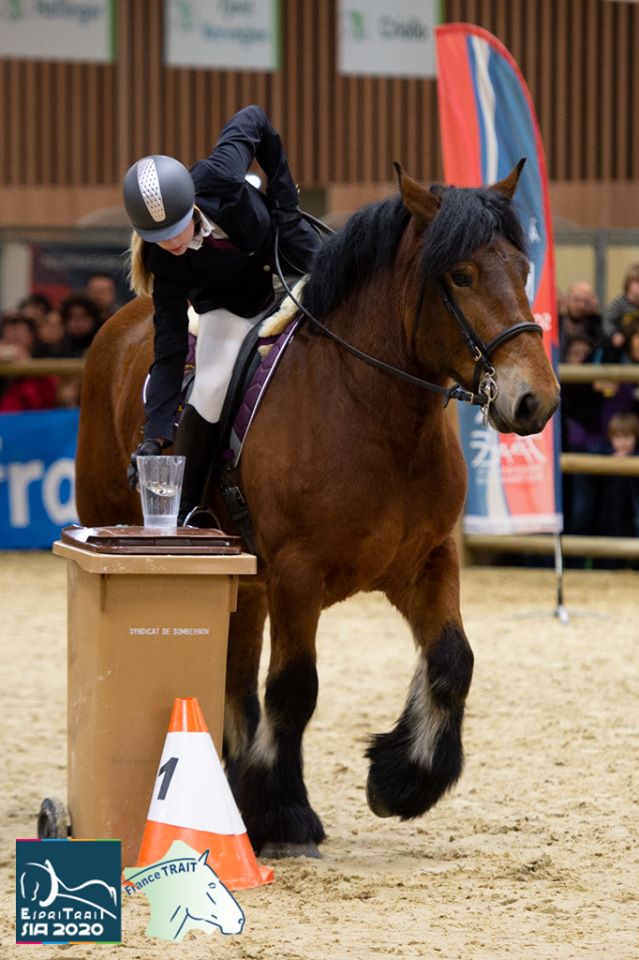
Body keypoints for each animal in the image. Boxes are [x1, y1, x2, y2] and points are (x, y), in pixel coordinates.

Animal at [76, 161, 560, 860]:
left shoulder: (427, 562)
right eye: (462, 275)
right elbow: (294, 688)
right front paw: (286, 815)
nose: (534, 400)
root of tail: (124, 322)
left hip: (244, 584)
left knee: (235, 680)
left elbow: (452, 661)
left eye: (522, 269)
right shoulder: (297, 577)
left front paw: (402, 781)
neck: (372, 411)